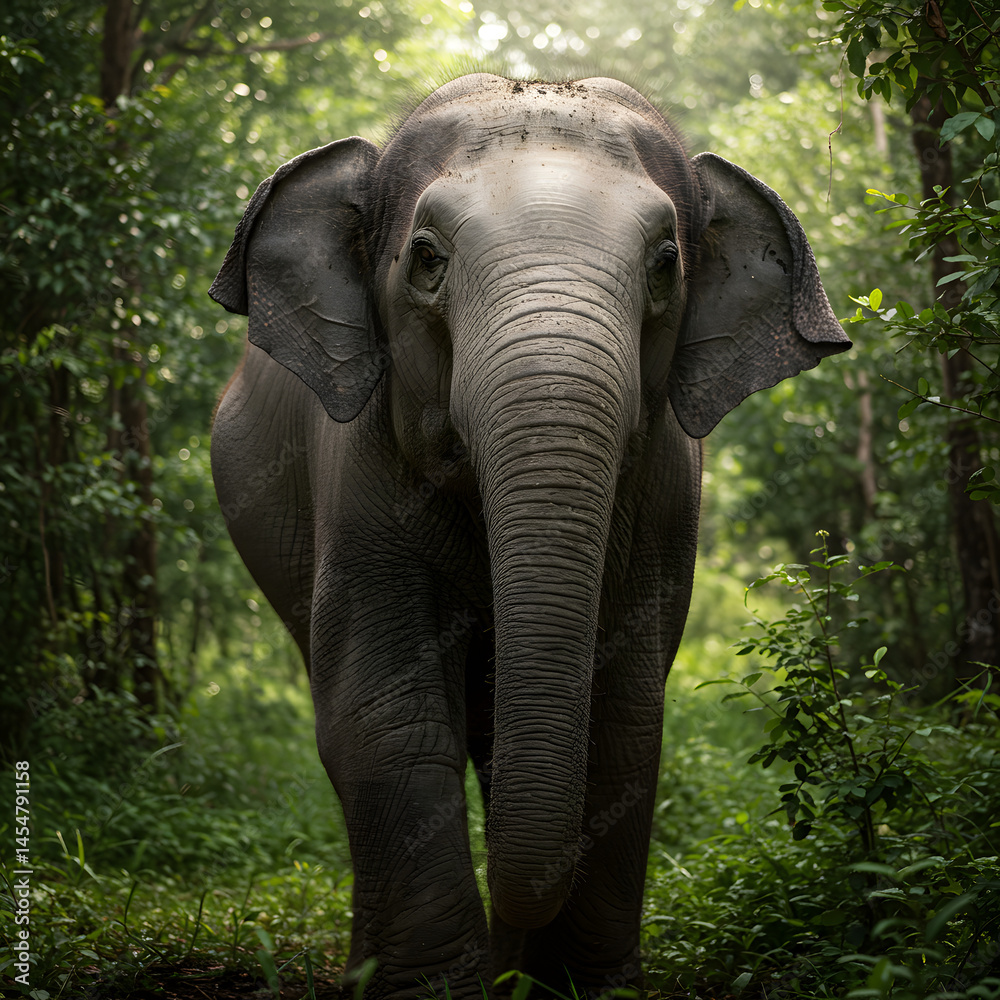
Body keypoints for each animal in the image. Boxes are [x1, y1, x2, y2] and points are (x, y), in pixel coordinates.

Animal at [208, 73, 850, 997]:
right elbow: (382, 711)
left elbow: (623, 723)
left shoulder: (664, 500)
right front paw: (432, 987)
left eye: (666, 266)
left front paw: (582, 985)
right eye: (427, 259)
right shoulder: (356, 468)